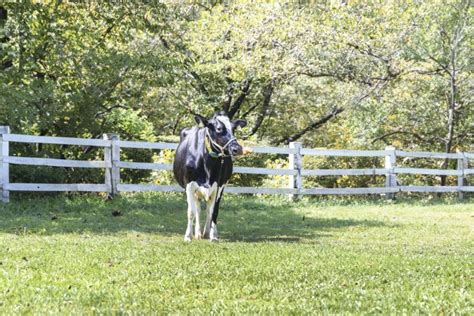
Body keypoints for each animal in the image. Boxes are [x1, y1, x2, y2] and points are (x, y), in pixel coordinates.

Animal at [174, 111, 248, 242]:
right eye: (219, 129)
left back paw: (207, 233)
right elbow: (191, 212)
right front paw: (188, 236)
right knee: (198, 209)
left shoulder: (220, 185)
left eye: (234, 129)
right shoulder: (189, 185)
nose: (237, 149)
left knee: (208, 210)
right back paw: (198, 233)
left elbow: (214, 211)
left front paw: (213, 236)